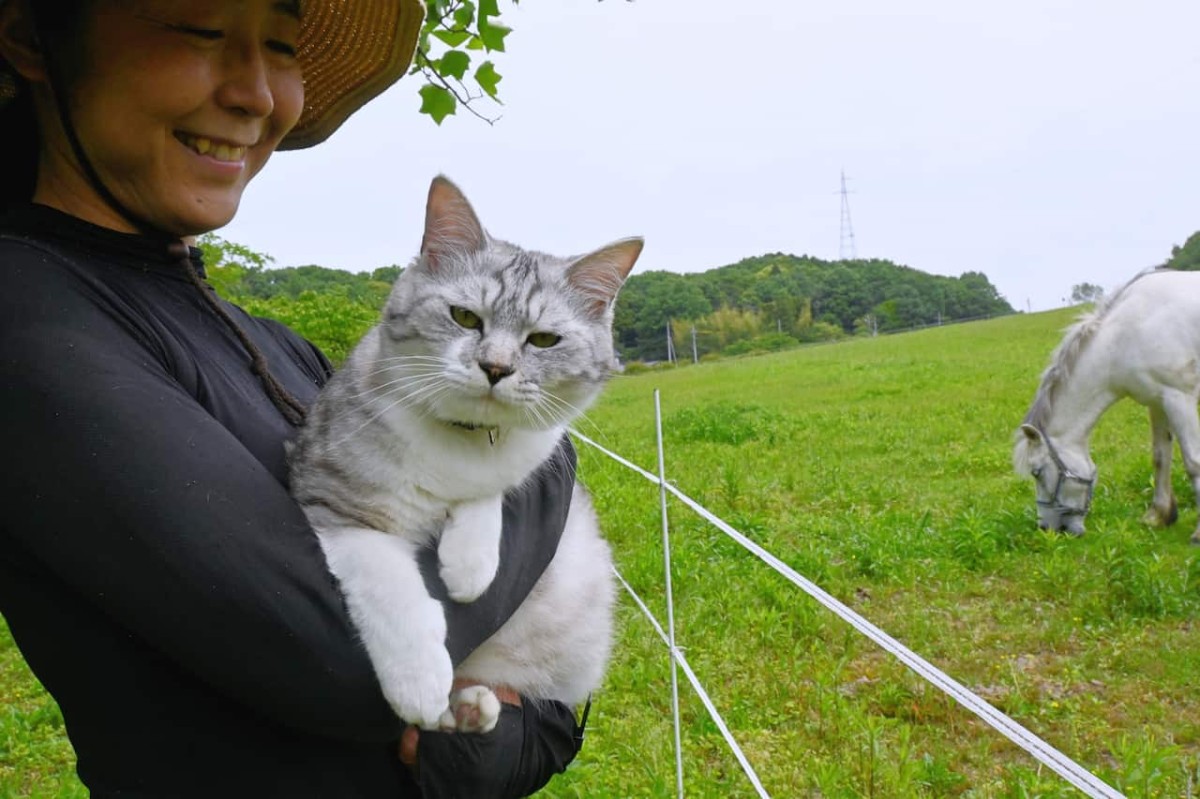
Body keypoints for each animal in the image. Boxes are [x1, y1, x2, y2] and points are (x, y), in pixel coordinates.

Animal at [286, 176, 643, 734]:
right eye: (464, 317)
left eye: (544, 339)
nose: (495, 368)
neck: (463, 438)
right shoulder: (335, 501)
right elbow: (392, 589)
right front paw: (419, 681)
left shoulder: (521, 459)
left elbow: (485, 494)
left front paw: (470, 565)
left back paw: (474, 708)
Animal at [1012, 267, 1200, 542]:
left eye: (1036, 471)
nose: (1046, 529)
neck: (1127, 336)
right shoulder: (1157, 401)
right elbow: (1160, 456)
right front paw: (1159, 515)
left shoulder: (1179, 398)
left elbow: (1193, 462)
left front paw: (1198, 532)